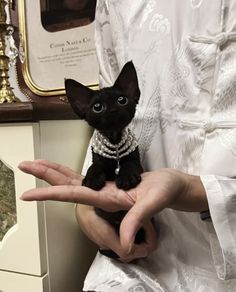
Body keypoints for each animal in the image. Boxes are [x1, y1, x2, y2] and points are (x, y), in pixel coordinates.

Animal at [65, 61, 145, 258]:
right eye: (97, 107)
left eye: (122, 100)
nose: (113, 109)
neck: (114, 140)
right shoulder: (98, 160)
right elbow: (94, 166)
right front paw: (92, 178)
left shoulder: (136, 161)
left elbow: (130, 164)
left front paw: (126, 177)